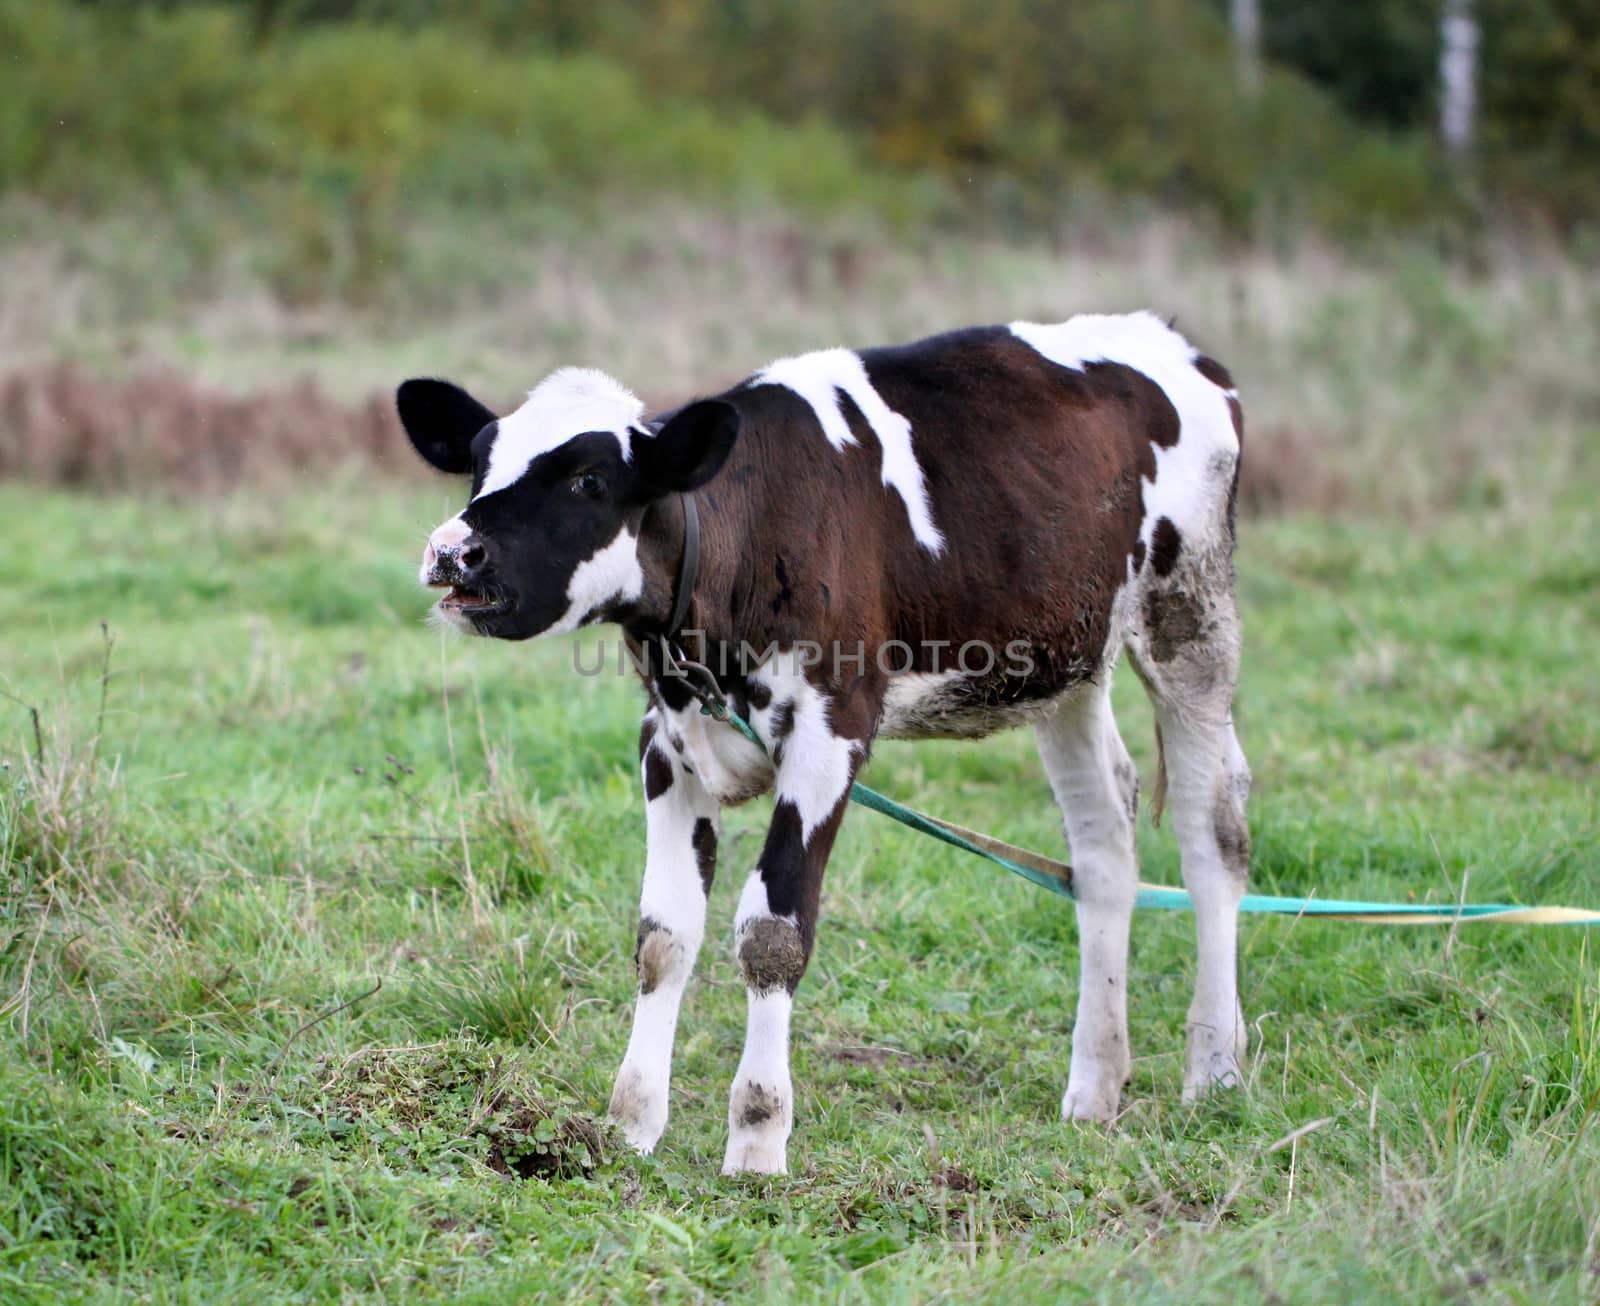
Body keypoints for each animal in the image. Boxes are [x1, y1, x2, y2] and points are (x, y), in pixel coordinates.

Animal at [396, 310, 1248, 1177]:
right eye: (479, 463)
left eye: (589, 481)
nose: (453, 552)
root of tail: (1171, 340)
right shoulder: (667, 744)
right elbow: (664, 934)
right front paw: (631, 1122)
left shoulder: (830, 737)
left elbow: (773, 931)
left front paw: (757, 1138)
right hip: (1067, 662)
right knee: (1104, 838)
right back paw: (1096, 1084)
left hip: (1190, 620)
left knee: (1212, 833)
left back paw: (1214, 1069)